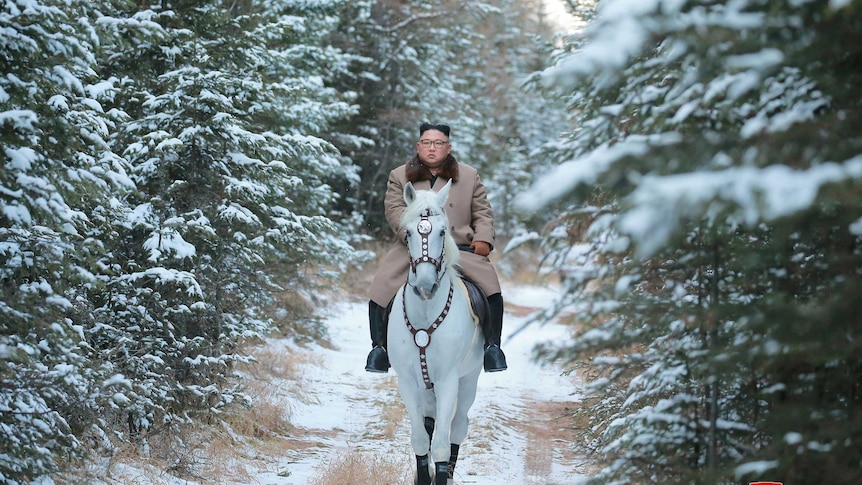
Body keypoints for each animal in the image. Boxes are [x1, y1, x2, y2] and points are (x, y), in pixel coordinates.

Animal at [390, 181, 486, 484]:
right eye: (408, 232)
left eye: (443, 232)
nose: (425, 286)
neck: (425, 313)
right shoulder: (408, 382)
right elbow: (421, 438)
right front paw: (423, 475)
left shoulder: (448, 381)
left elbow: (442, 444)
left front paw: (441, 474)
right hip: (426, 386)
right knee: (430, 423)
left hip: (468, 380)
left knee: (457, 427)